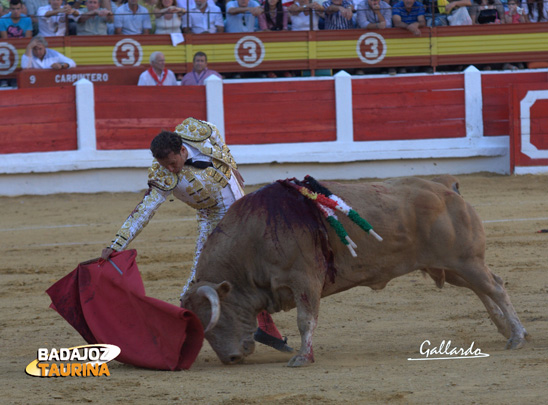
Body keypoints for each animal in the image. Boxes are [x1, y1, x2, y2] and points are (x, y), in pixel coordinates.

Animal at [182, 175, 528, 364]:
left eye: (216, 317)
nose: (230, 359)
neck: (253, 236)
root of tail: (447, 187)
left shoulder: (304, 280)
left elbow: (306, 320)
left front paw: (302, 358)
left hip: (465, 261)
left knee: (495, 288)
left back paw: (516, 337)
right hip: (453, 266)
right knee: (485, 288)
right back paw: (508, 330)